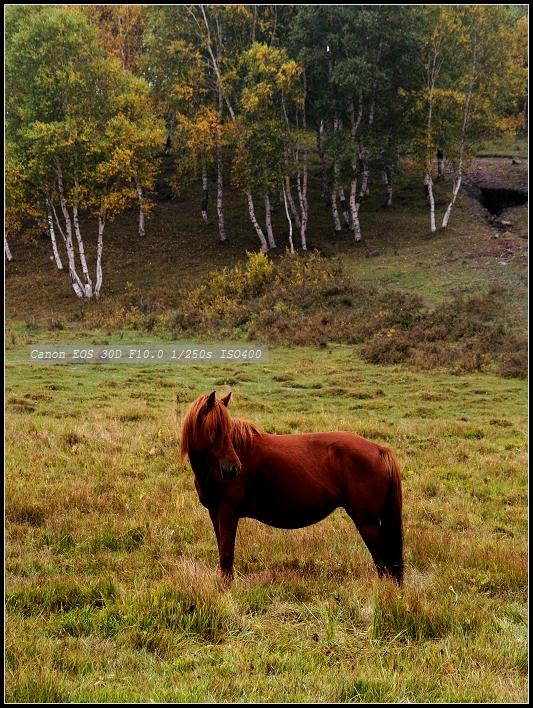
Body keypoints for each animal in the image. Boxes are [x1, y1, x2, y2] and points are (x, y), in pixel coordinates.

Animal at [180, 390, 404, 584]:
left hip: (367, 521)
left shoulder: (228, 512)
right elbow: (222, 552)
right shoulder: (215, 512)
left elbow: (226, 555)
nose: (234, 469)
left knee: (382, 562)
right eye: (215, 430)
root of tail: (379, 449)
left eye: (227, 430)